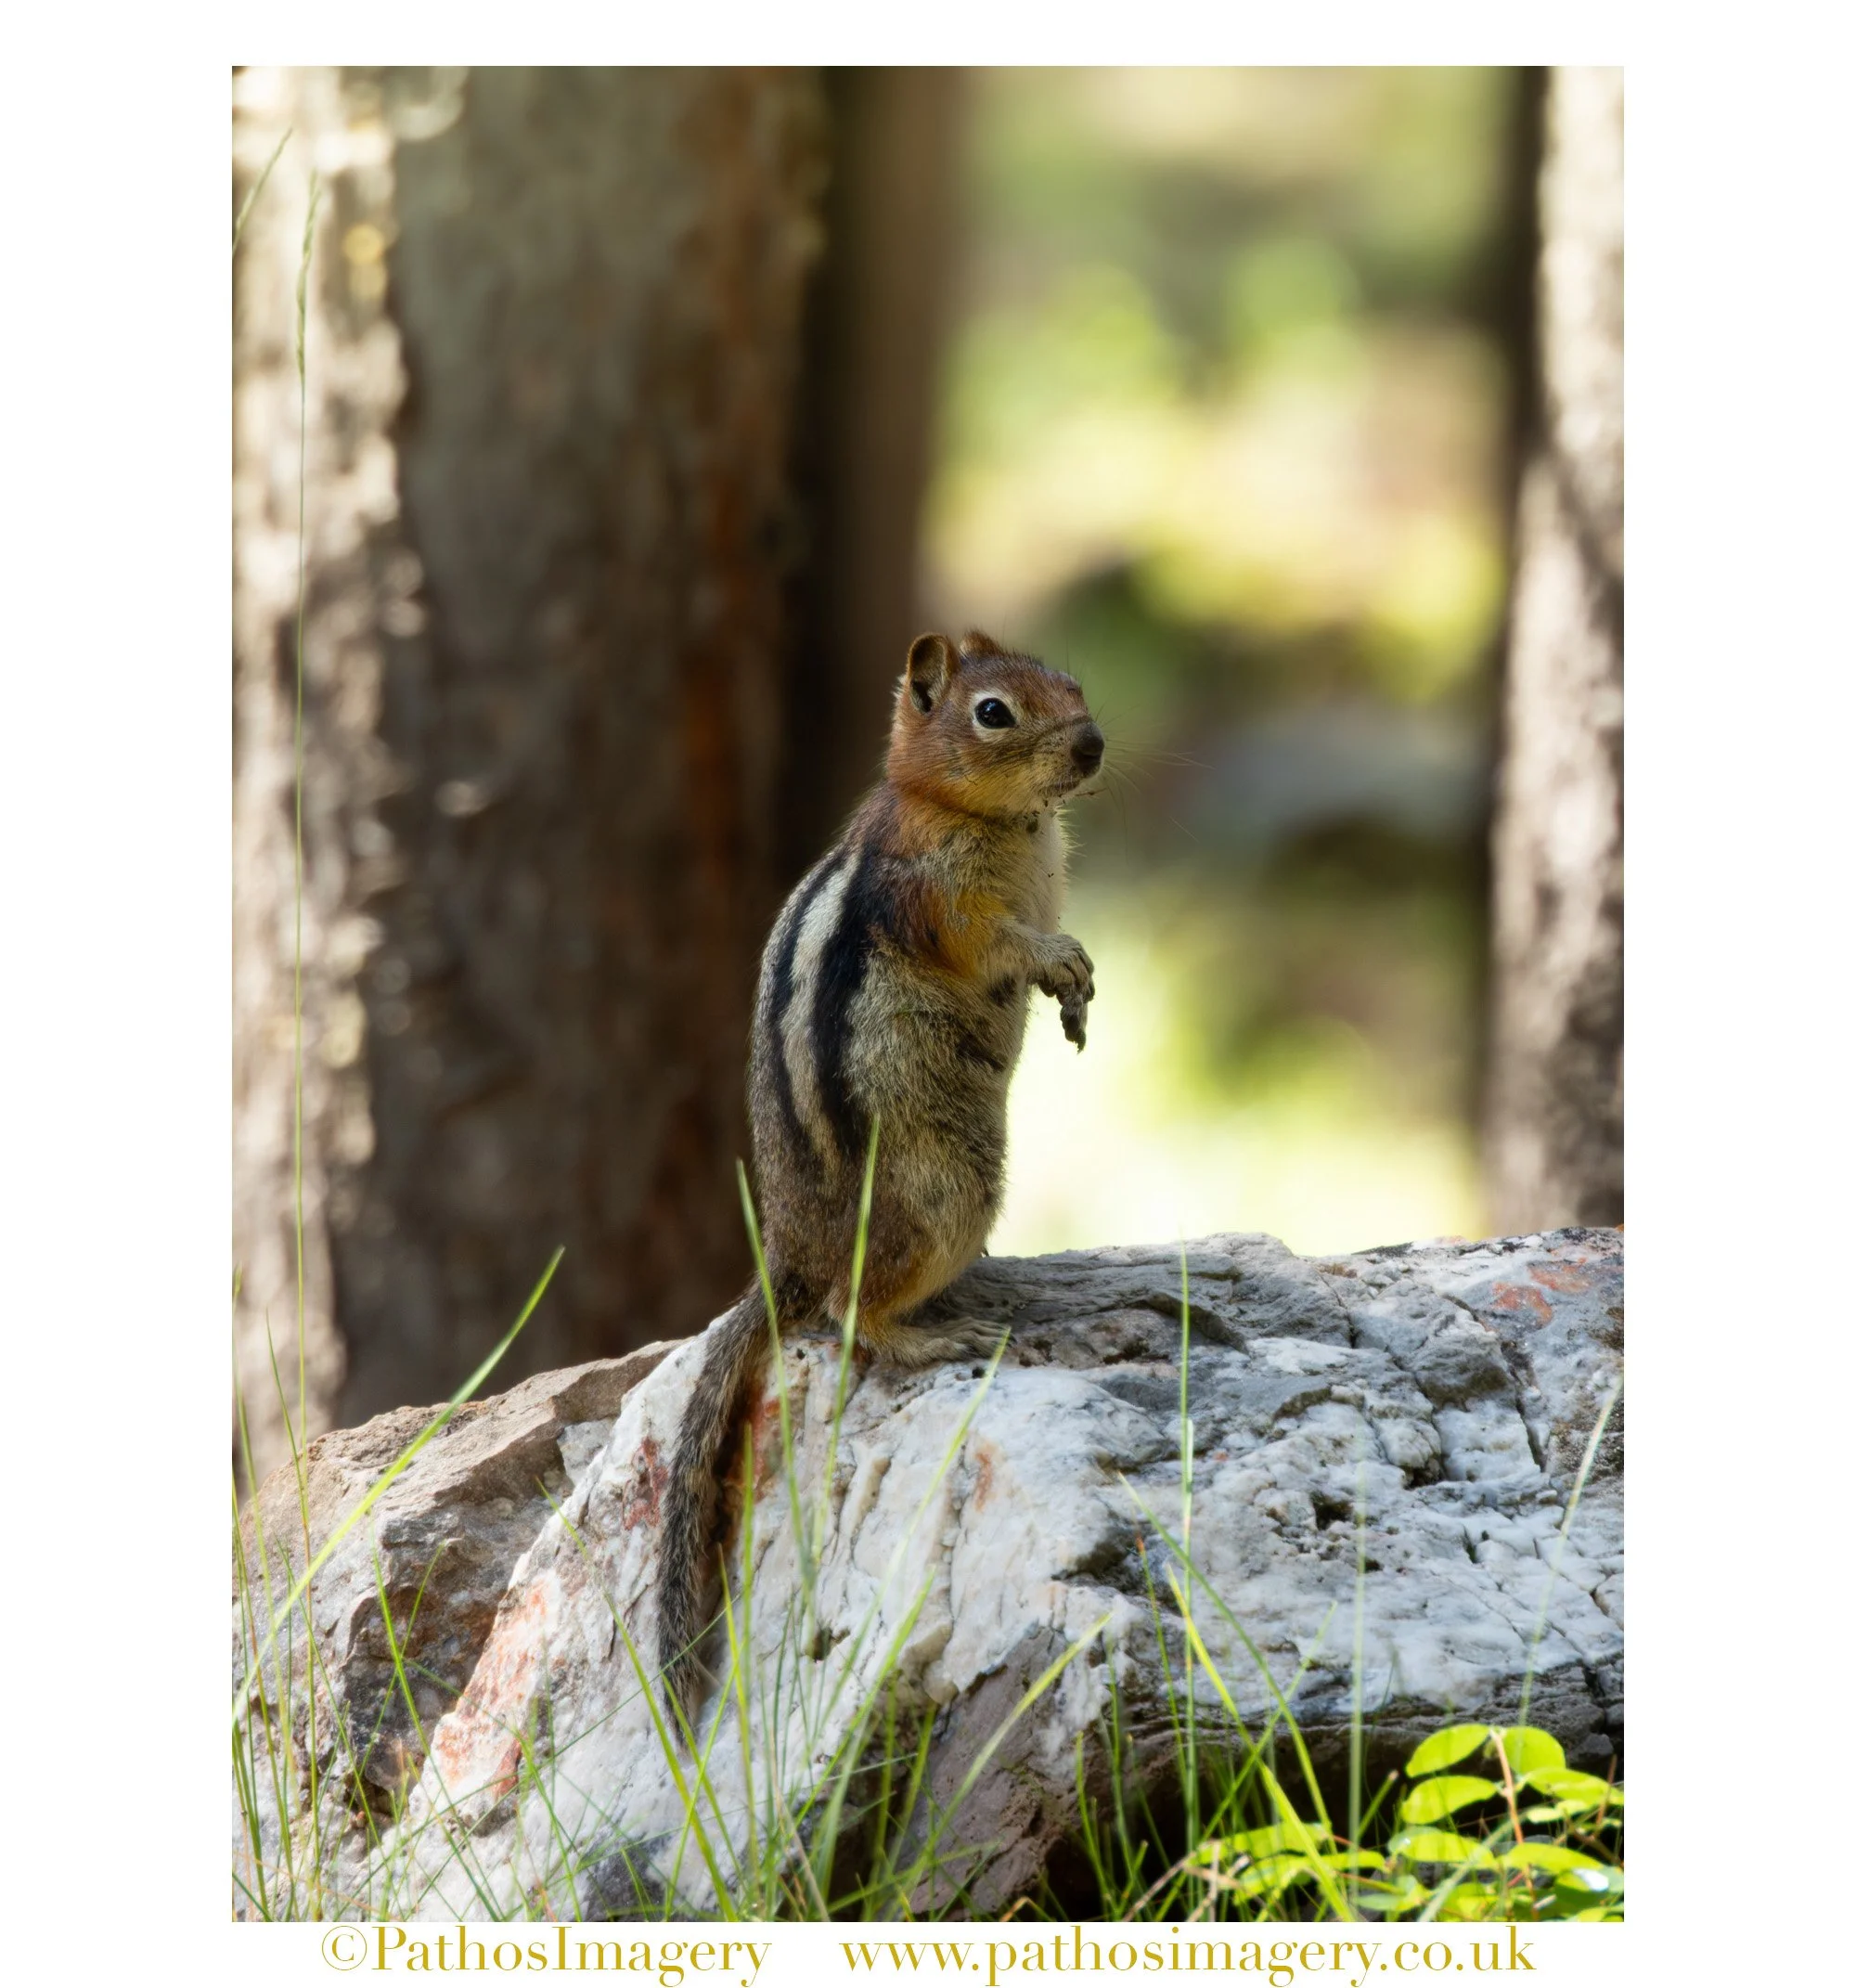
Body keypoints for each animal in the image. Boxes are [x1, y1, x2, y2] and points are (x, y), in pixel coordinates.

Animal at [655, 628, 1104, 1722]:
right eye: (993, 712)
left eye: (1070, 681)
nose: (1094, 745)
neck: (999, 820)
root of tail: (788, 1261)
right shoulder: (938, 895)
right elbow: (995, 940)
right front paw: (1056, 963)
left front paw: (1076, 996)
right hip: (948, 1192)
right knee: (848, 1317)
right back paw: (936, 1334)